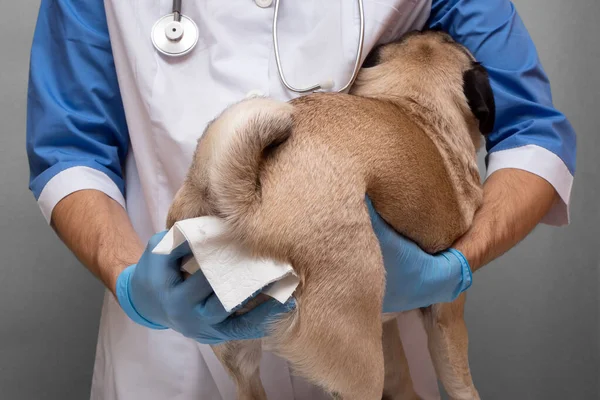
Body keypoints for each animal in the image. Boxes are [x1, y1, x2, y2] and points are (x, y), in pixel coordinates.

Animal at [166, 29, 494, 398]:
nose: (436, 27)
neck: (415, 107)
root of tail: (243, 200)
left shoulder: (389, 330)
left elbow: (401, 376)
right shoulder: (448, 314)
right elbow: (459, 383)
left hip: (235, 349)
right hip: (359, 358)